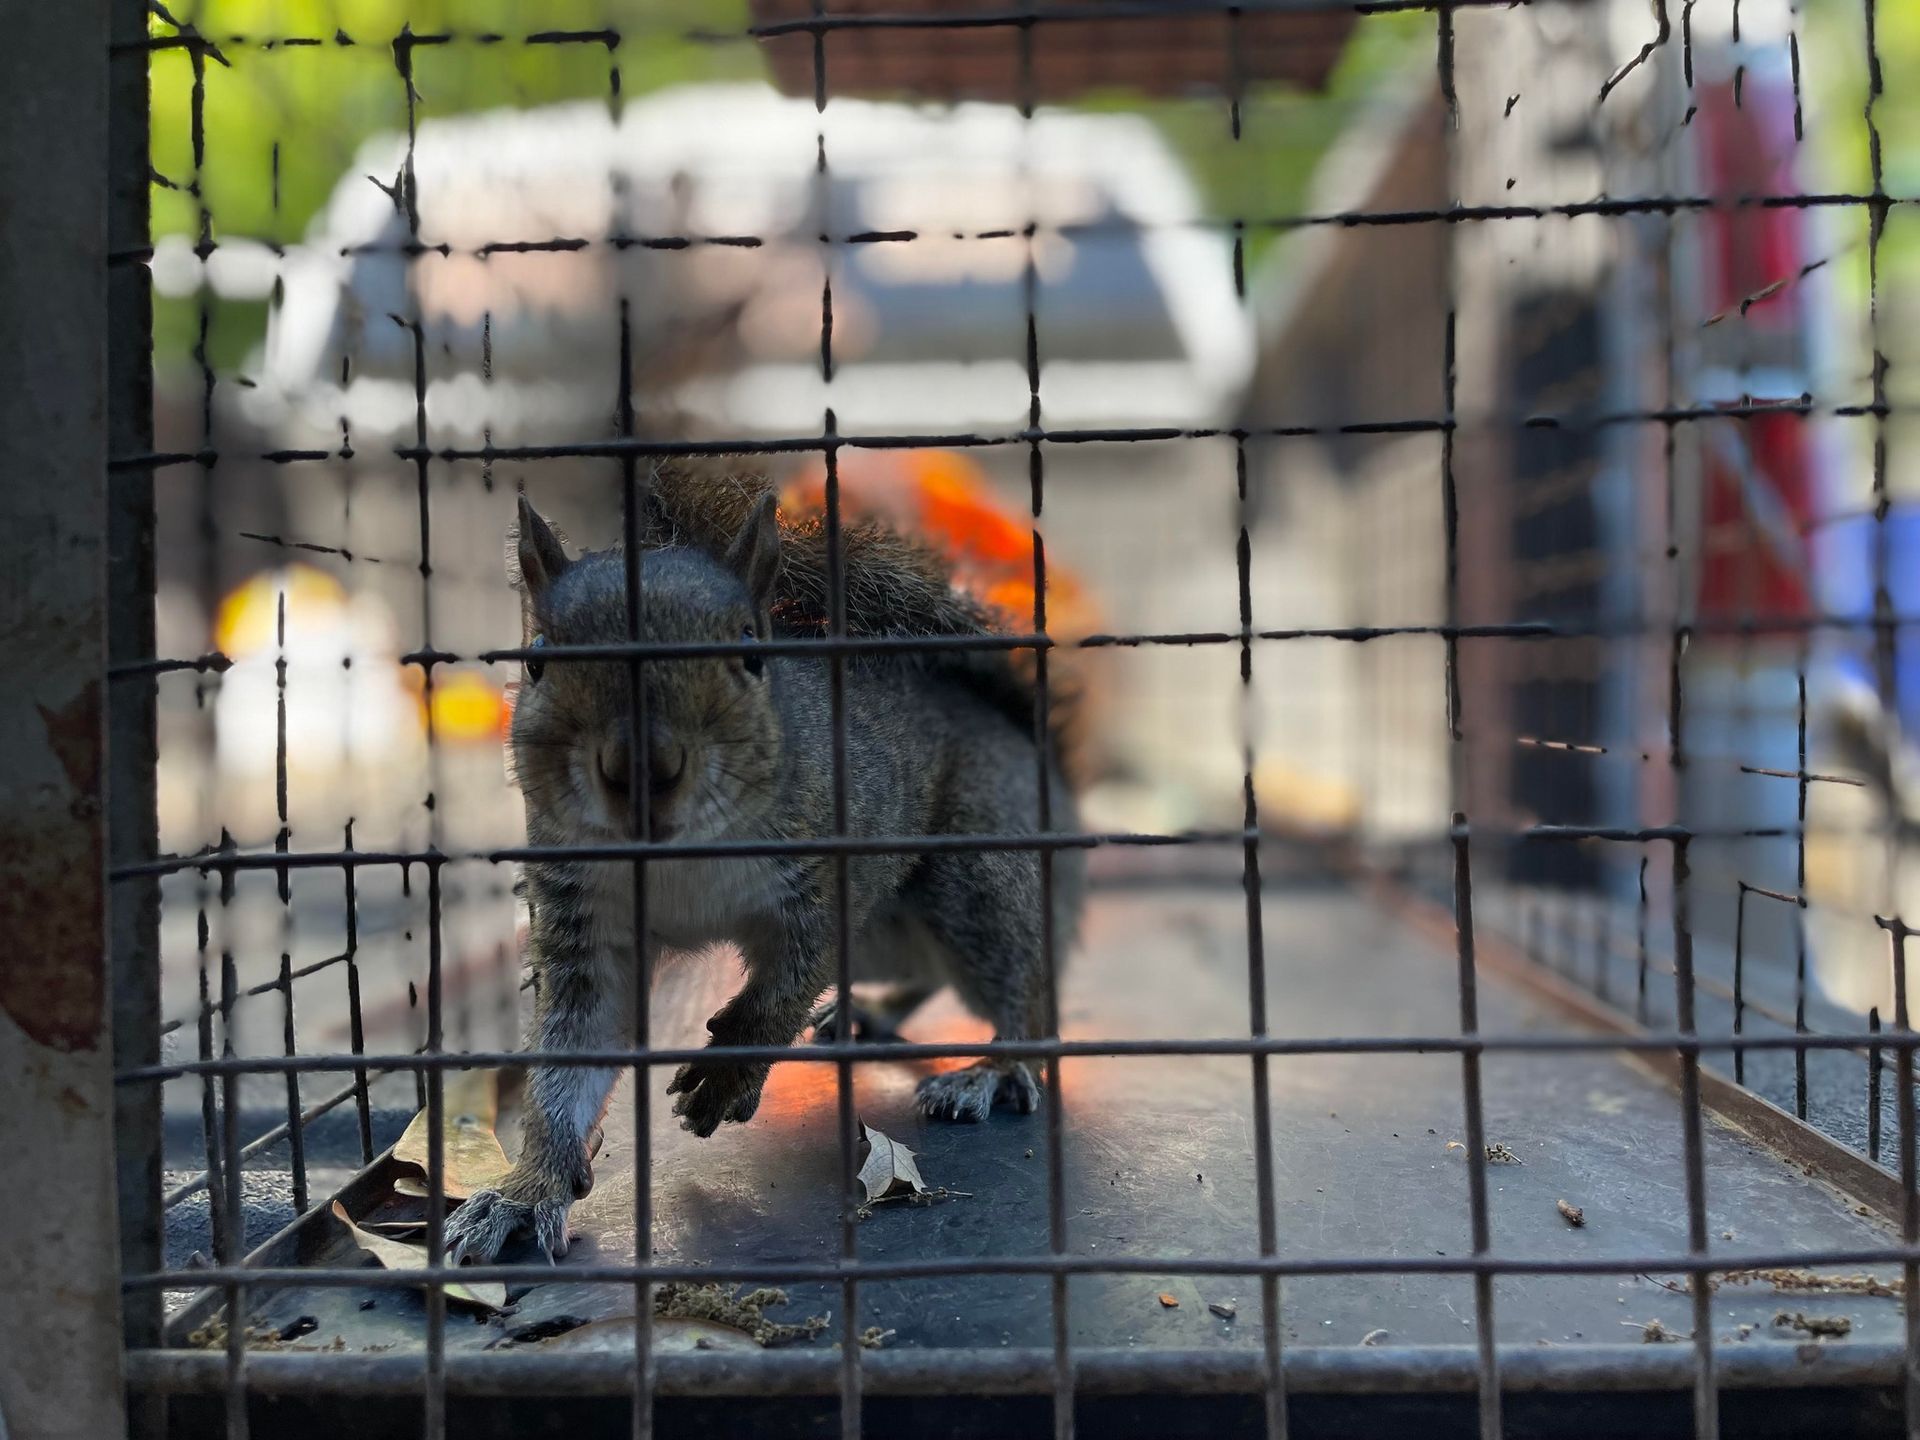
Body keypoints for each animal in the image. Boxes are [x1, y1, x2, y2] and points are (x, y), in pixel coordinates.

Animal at [443, 464, 1084, 1264]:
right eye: (535, 657)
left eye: (751, 650)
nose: (641, 768)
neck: (678, 857)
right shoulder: (586, 924)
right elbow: (570, 1060)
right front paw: (526, 1192)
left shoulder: (825, 875)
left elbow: (782, 991)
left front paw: (725, 1078)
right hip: (893, 934)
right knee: (922, 972)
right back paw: (867, 1012)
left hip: (976, 882)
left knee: (1024, 991)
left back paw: (988, 1072)